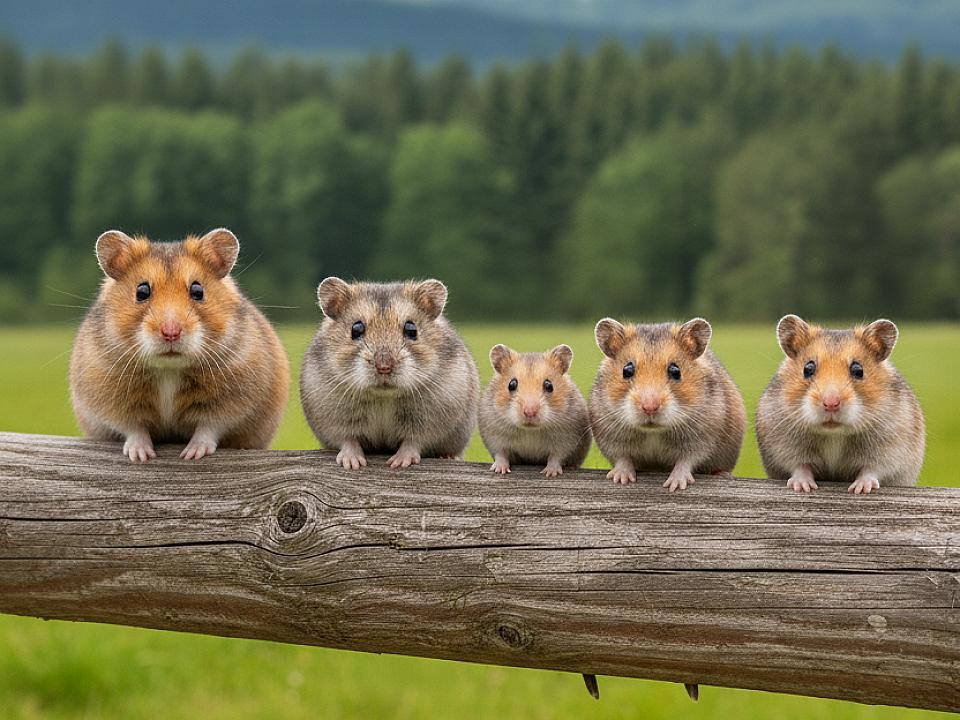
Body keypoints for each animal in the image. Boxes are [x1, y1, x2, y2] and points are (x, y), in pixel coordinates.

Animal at [70, 228, 290, 462]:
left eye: (198, 290)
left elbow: (209, 428)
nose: (171, 332)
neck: (169, 370)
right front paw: (142, 456)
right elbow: (134, 428)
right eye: (142, 291)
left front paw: (191, 454)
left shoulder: (232, 401)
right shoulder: (111, 401)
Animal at [300, 277, 479, 469]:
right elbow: (348, 440)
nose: (384, 367)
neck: (383, 396)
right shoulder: (336, 420)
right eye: (356, 329)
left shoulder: (429, 421)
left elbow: (413, 442)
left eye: (411, 329)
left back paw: (448, 457)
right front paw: (352, 464)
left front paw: (398, 463)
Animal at [478, 344, 591, 477]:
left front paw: (550, 473)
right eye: (511, 384)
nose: (529, 412)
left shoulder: (566, 439)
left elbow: (556, 457)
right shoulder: (495, 436)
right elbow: (501, 454)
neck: (530, 430)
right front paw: (499, 470)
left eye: (549, 385)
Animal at [589, 318, 746, 491]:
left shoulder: (703, 438)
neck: (653, 432)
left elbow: (686, 461)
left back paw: (722, 474)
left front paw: (675, 485)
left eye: (675, 370)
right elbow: (622, 458)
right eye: (627, 370)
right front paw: (621, 479)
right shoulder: (610, 437)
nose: (649, 407)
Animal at [756, 315, 925, 494]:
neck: (834, 434)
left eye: (858, 370)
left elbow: (871, 470)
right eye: (808, 368)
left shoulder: (890, 449)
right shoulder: (783, 448)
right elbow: (800, 466)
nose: (831, 403)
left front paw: (861, 489)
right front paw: (803, 487)